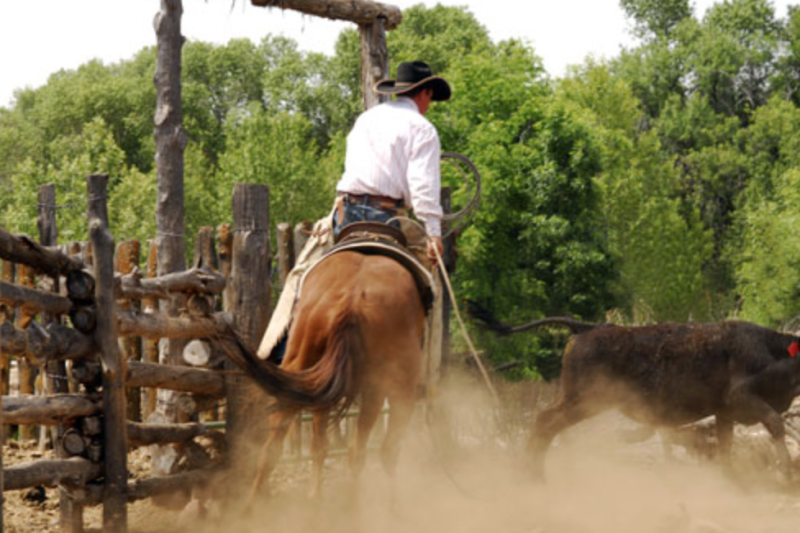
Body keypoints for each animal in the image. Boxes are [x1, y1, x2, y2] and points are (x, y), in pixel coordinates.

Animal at [216, 251, 428, 500]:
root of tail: (352, 299)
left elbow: (319, 444)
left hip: (303, 365)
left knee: (274, 446)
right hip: (393, 385)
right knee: (380, 449)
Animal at [466, 306, 800, 480]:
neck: (773, 350)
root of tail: (586, 328)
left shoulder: (724, 413)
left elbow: (726, 448)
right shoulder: (743, 399)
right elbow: (775, 424)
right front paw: (786, 471)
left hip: (577, 400)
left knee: (544, 423)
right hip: (583, 401)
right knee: (545, 422)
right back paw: (534, 476)